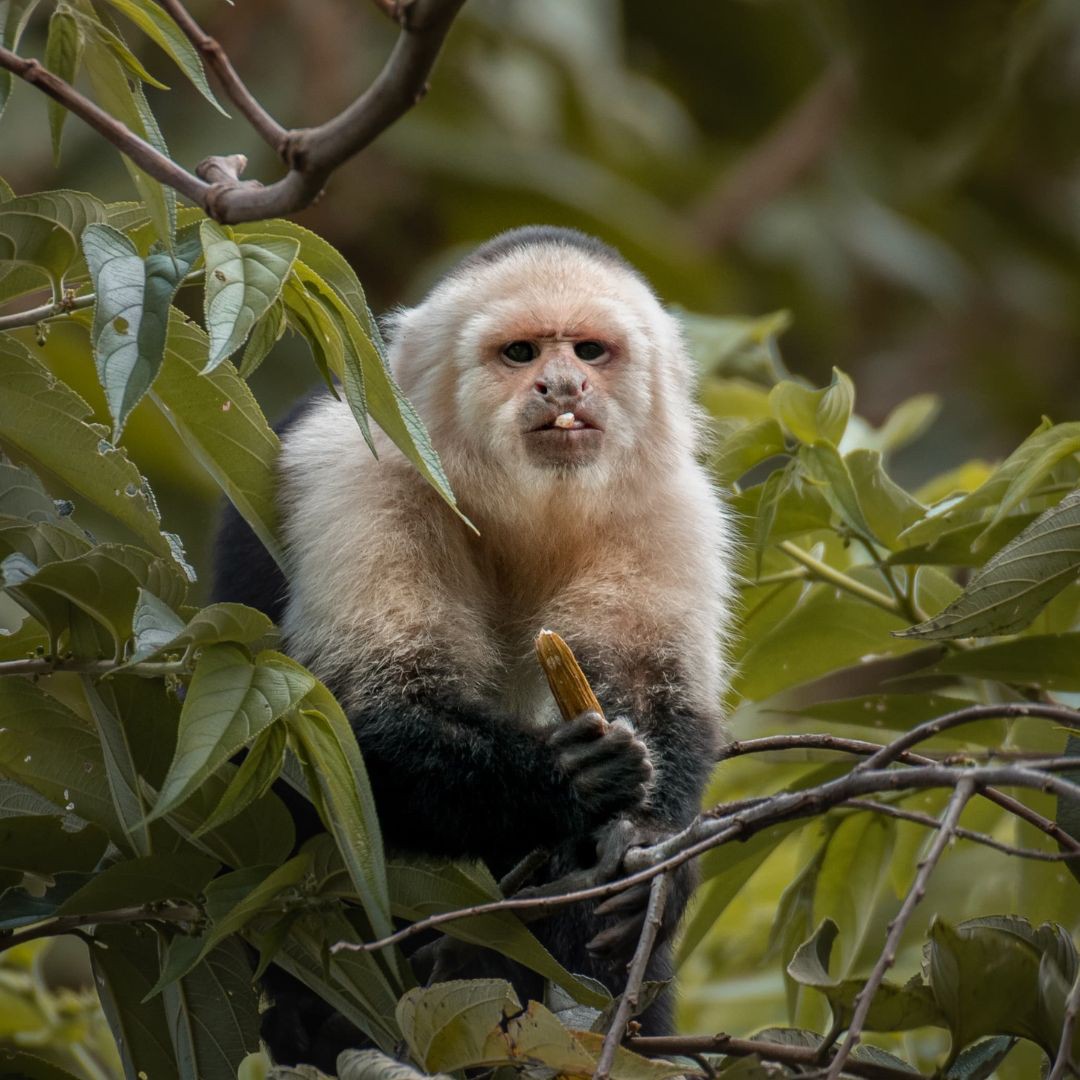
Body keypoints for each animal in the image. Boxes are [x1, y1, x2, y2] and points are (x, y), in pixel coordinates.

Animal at [212, 227, 734, 1071]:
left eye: (590, 351)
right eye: (520, 354)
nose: (563, 386)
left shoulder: (669, 504)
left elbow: (661, 694)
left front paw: (649, 853)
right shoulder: (365, 475)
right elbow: (357, 724)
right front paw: (571, 778)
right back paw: (322, 1023)